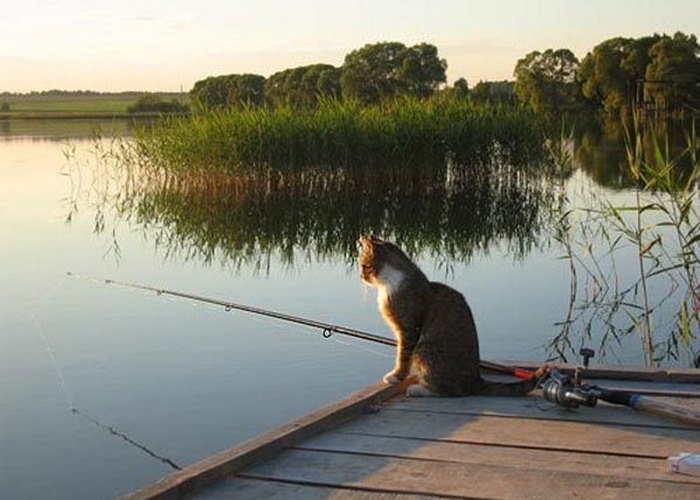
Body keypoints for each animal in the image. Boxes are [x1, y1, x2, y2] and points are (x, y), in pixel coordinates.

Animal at [358, 235, 544, 398]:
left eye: (364, 266)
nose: (361, 276)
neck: (390, 283)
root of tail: (474, 380)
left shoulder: (409, 330)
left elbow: (402, 356)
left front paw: (395, 376)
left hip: (425, 349)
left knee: (451, 391)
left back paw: (418, 389)